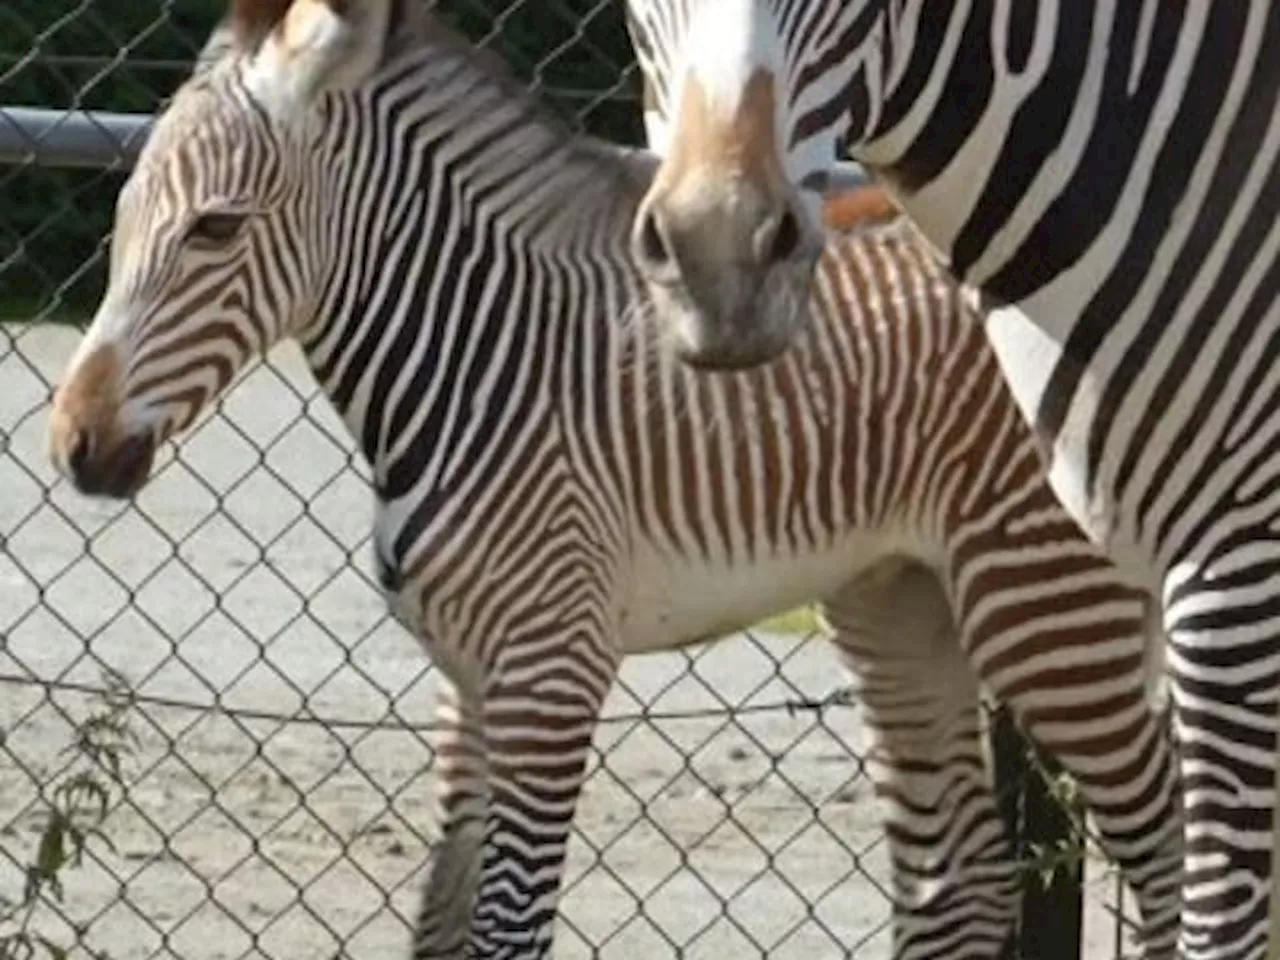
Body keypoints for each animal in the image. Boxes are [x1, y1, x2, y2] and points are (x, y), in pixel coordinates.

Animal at [47, 0, 1187, 957]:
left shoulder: (550, 672)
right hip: (899, 599)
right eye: (125, 212)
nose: (74, 445)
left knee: (1165, 841)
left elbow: (507, 931)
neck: (476, 362)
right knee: (965, 888)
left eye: (215, 228)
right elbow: (439, 929)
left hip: (1042, 600)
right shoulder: (468, 681)